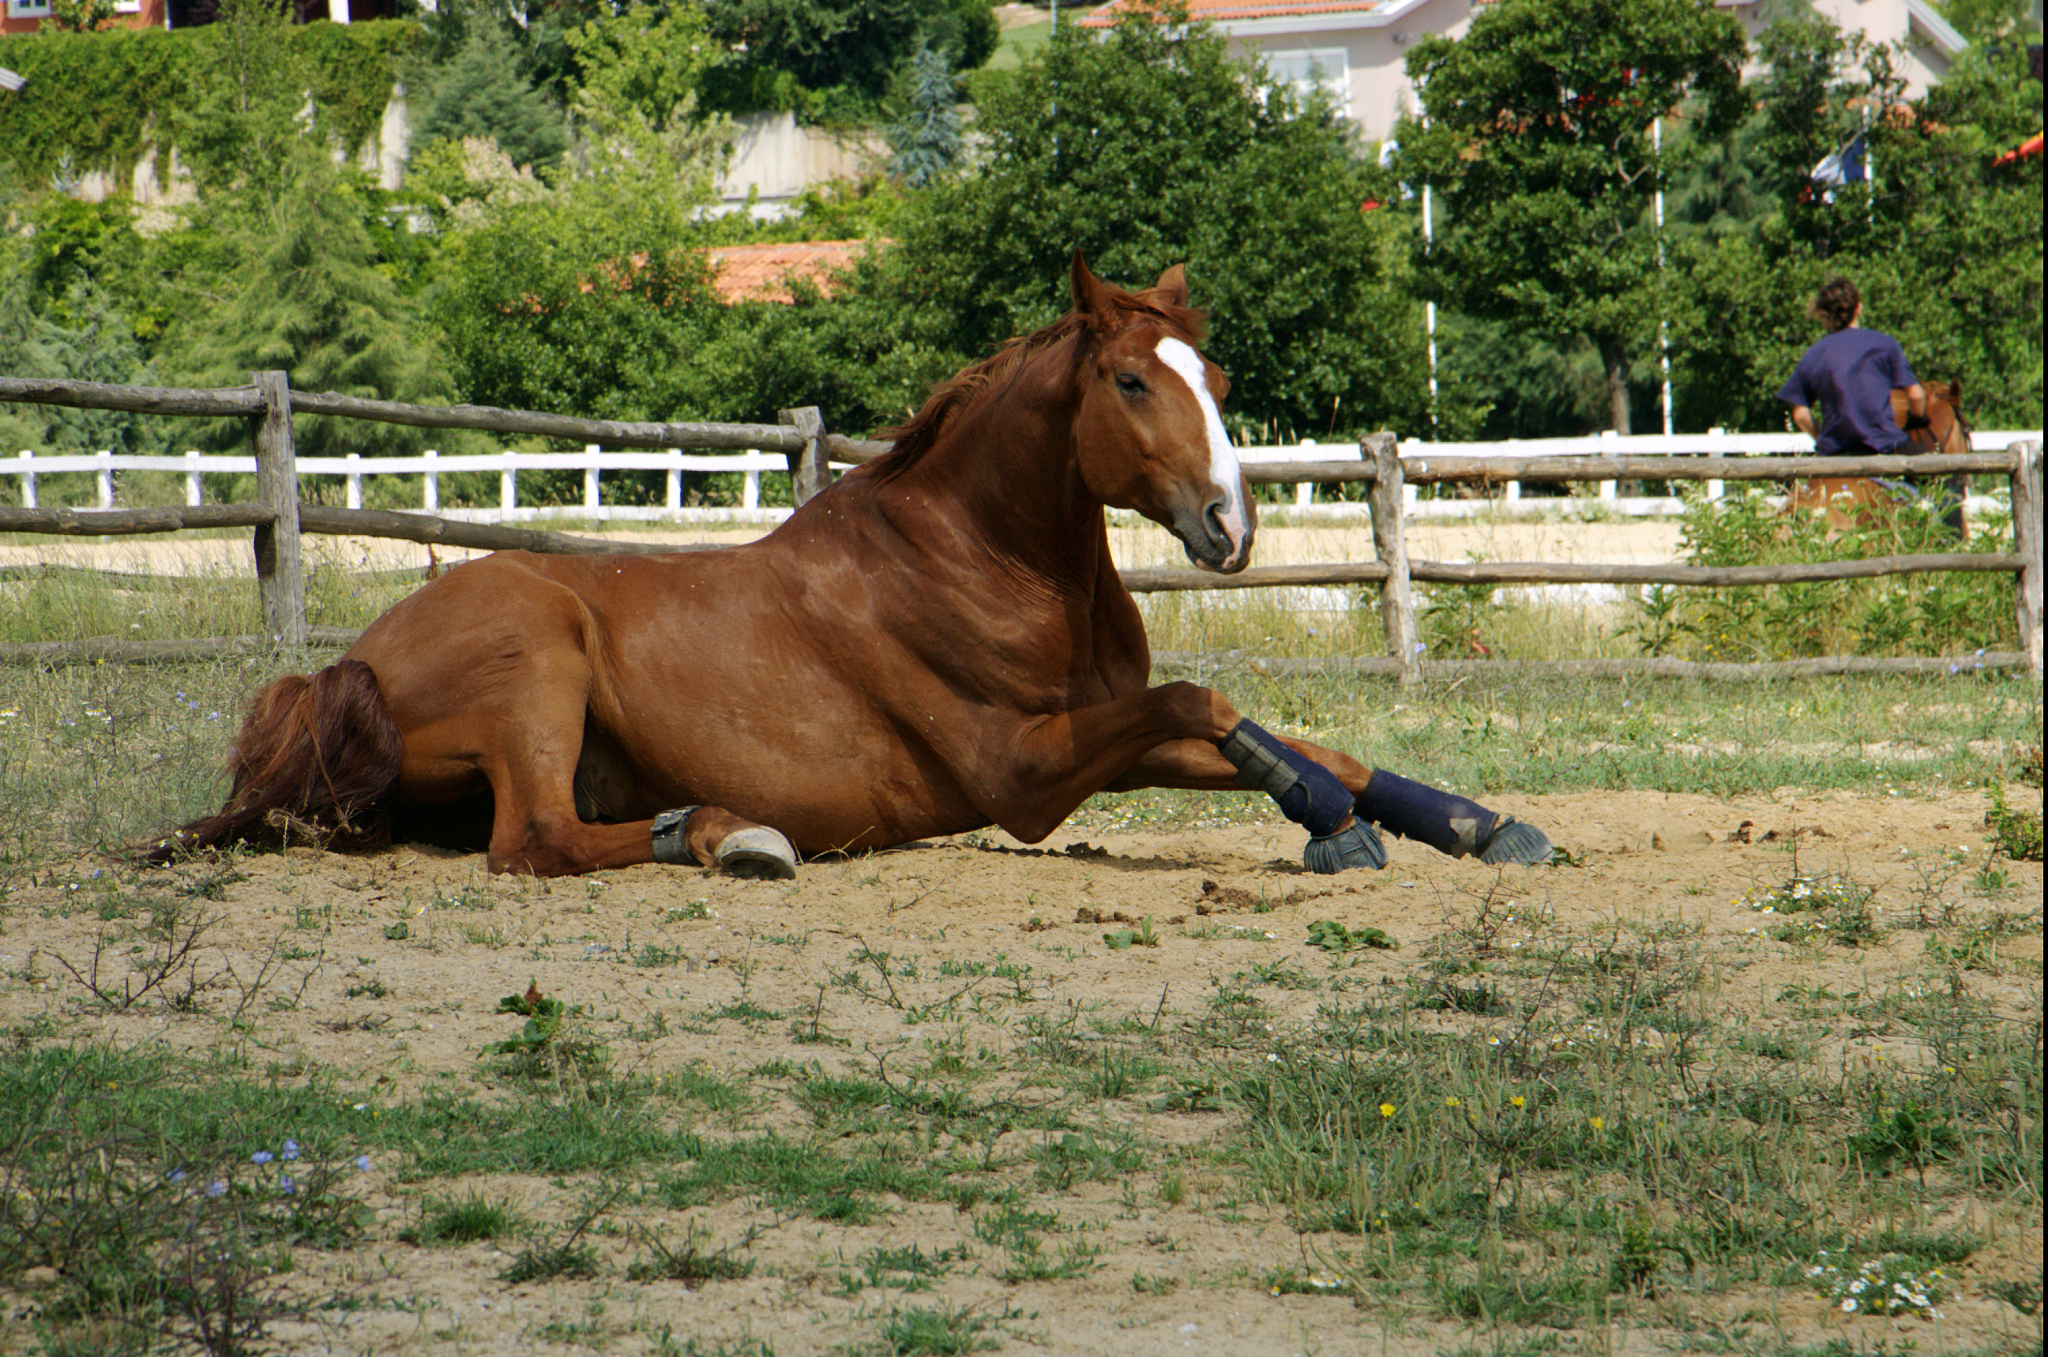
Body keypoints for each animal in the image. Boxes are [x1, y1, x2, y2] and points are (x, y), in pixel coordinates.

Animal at [150, 254, 1550, 880]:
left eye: (1212, 374)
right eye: (1128, 381)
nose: (1228, 527)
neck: (983, 561)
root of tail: (342, 668)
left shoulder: (1086, 741)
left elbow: (1306, 742)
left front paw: (1477, 825)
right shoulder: (1021, 773)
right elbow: (1213, 707)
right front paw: (1332, 831)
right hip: (536, 660)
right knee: (533, 839)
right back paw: (724, 832)